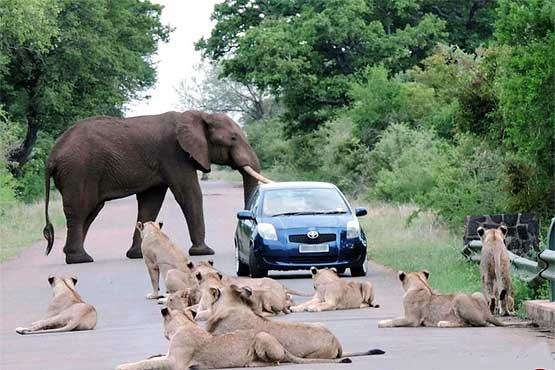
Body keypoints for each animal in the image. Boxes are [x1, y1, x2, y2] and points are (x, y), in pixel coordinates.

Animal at [42, 110, 272, 264]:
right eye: (233, 138)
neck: (199, 115)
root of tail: (52, 156)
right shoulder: (174, 154)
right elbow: (189, 194)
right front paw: (204, 252)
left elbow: (151, 202)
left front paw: (137, 255)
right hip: (79, 171)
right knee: (80, 210)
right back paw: (80, 259)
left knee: (89, 212)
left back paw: (75, 256)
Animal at [115, 304, 352, 368]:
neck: (184, 324)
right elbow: (151, 358)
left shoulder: (176, 362)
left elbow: (146, 364)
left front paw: (121, 366)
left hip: (262, 336)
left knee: (274, 362)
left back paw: (250, 364)